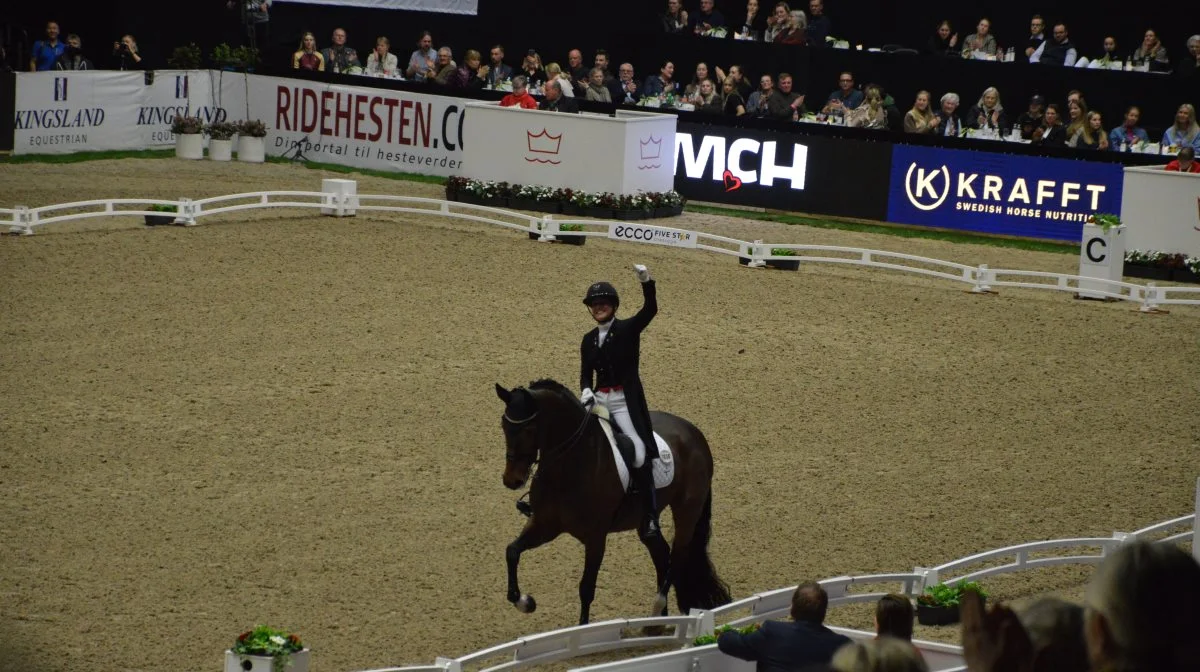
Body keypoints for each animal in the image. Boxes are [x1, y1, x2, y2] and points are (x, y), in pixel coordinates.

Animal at [494, 379, 729, 624]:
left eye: (529, 430)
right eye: (503, 425)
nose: (512, 480)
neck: (570, 465)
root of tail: (695, 433)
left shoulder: (596, 538)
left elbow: (586, 589)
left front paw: (581, 628)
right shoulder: (545, 525)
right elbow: (512, 551)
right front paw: (524, 602)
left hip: (687, 510)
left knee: (677, 556)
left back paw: (657, 608)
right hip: (645, 520)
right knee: (662, 555)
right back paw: (656, 623)